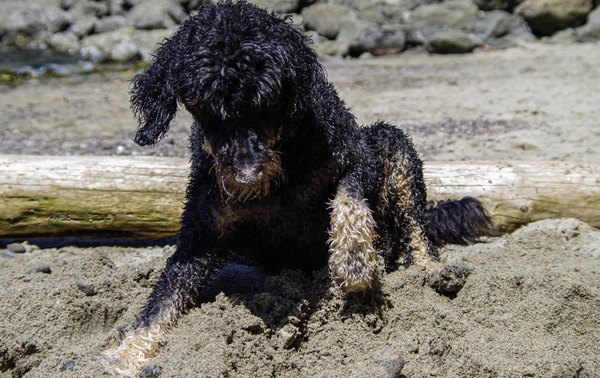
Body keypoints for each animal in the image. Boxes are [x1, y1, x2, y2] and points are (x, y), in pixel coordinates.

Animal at [102, 1, 492, 376]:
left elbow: (348, 196)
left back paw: (435, 270)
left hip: (393, 147)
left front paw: (355, 259)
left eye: (267, 102)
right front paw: (124, 355)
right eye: (204, 108)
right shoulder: (200, 233)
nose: (246, 175)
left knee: (417, 231)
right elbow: (162, 300)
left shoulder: (356, 154)